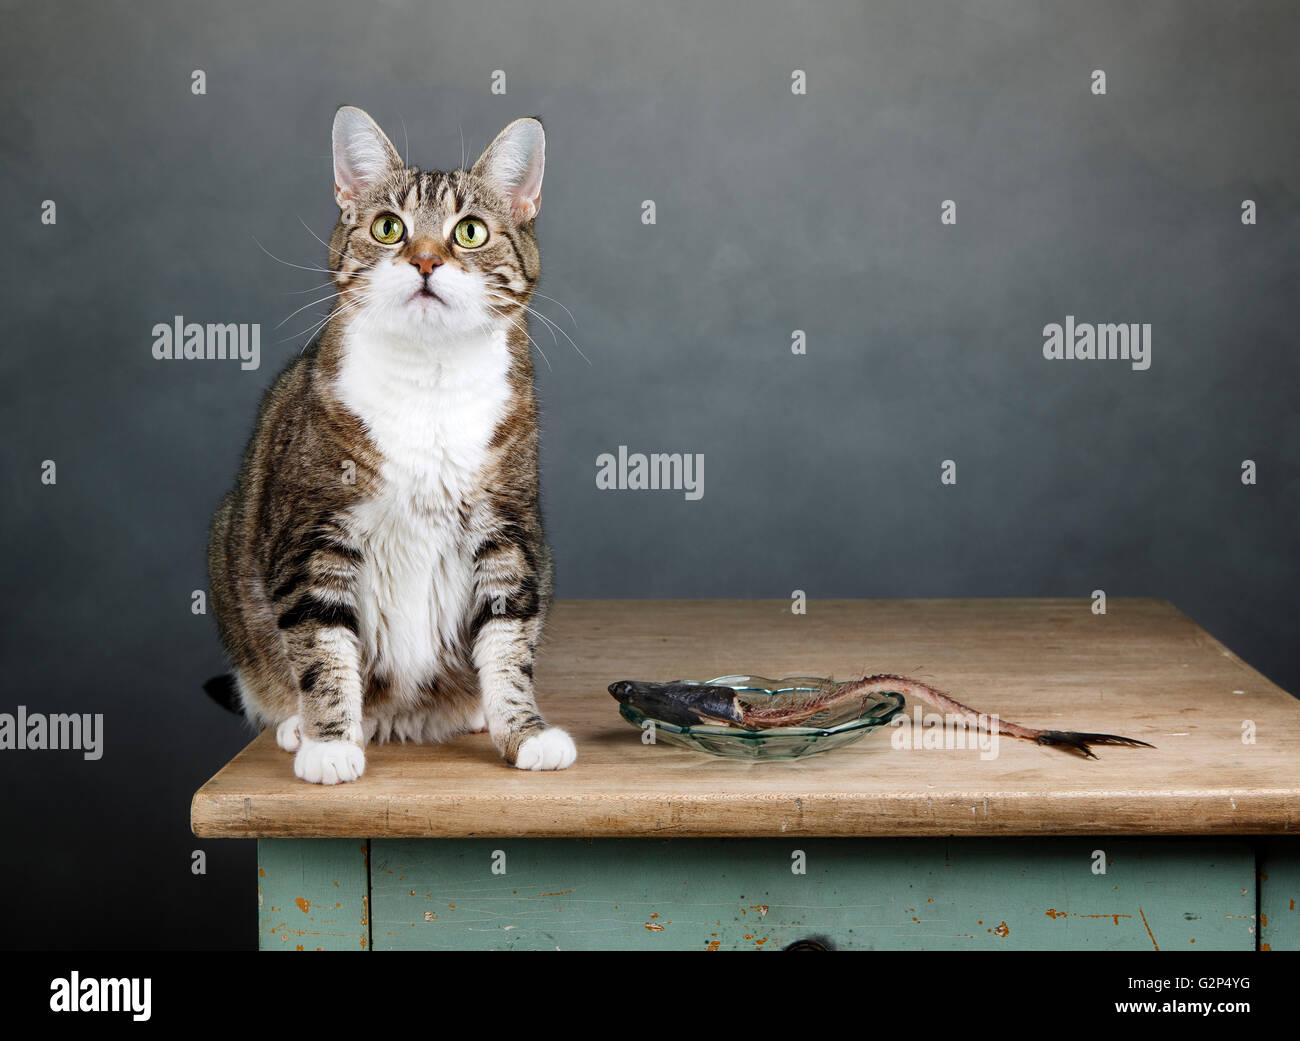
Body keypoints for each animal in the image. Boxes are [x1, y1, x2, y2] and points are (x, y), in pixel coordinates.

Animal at [206, 107, 574, 790]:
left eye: (470, 231)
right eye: (388, 227)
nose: (425, 261)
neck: (428, 382)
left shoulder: (508, 531)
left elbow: (510, 642)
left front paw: (524, 731)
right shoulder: (314, 535)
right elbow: (322, 648)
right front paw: (328, 742)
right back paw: (298, 724)